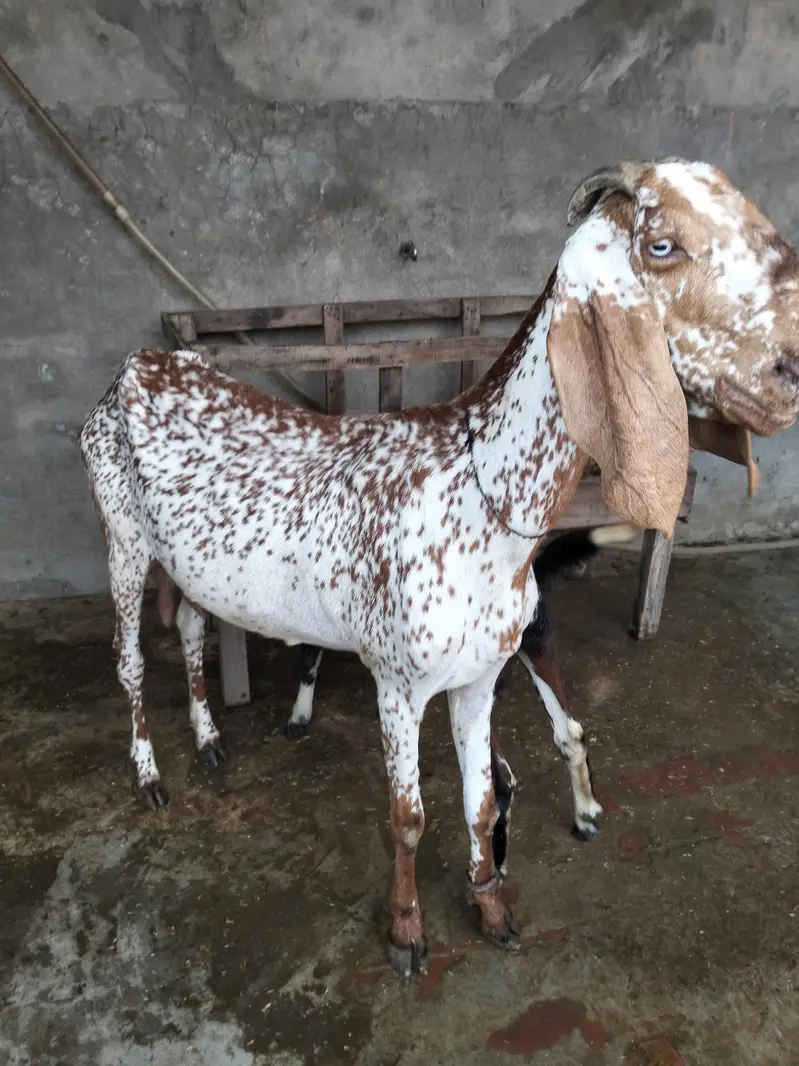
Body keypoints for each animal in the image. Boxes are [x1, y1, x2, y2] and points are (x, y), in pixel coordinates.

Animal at [80, 159, 799, 978]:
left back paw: (207, 742)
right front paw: (405, 931)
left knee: (195, 630)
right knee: (131, 659)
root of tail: (140, 364)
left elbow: (482, 799)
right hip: (122, 535)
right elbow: (408, 815)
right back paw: (150, 776)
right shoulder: (397, 683)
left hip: (186, 560)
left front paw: (491, 907)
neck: (476, 499)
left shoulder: (481, 675)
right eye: (662, 244)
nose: (788, 373)